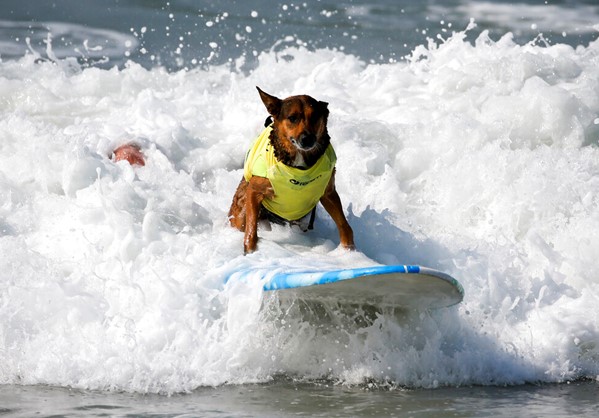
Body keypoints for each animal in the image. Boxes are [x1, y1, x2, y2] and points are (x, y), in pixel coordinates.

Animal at [227, 86, 354, 253]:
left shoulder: (328, 192)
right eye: (292, 118)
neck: (298, 165)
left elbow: (344, 225)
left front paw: (349, 250)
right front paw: (250, 249)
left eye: (314, 117)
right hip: (241, 204)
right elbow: (251, 228)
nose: (307, 139)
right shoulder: (254, 191)